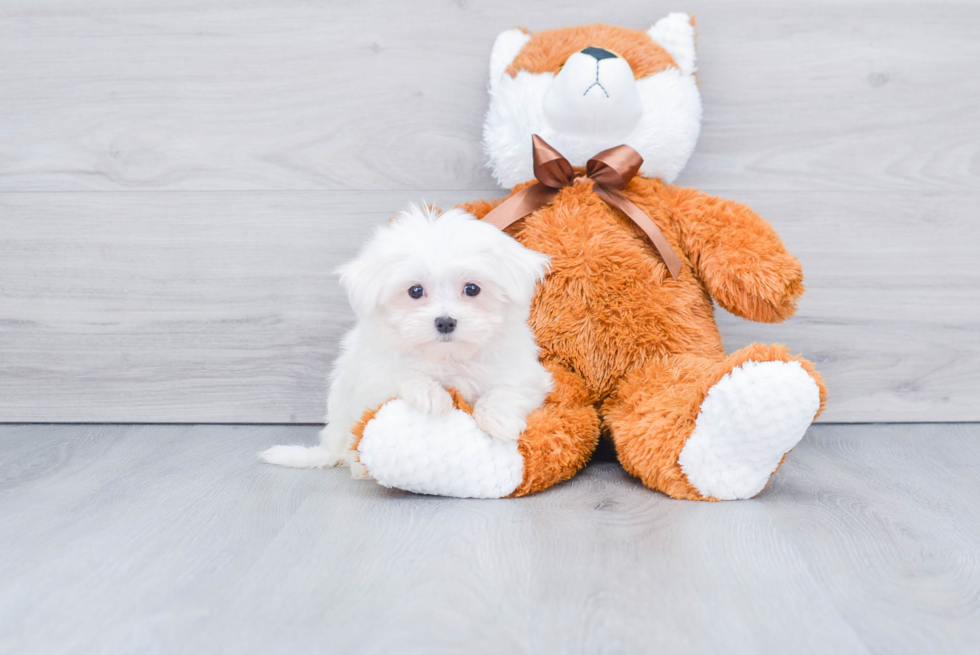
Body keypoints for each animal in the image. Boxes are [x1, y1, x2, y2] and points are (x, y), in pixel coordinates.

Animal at [258, 204, 552, 472]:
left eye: (472, 289)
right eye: (415, 291)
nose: (445, 321)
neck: (447, 358)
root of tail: (332, 445)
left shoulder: (527, 375)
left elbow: (508, 390)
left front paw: (499, 421)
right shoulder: (373, 381)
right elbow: (402, 375)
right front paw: (431, 395)